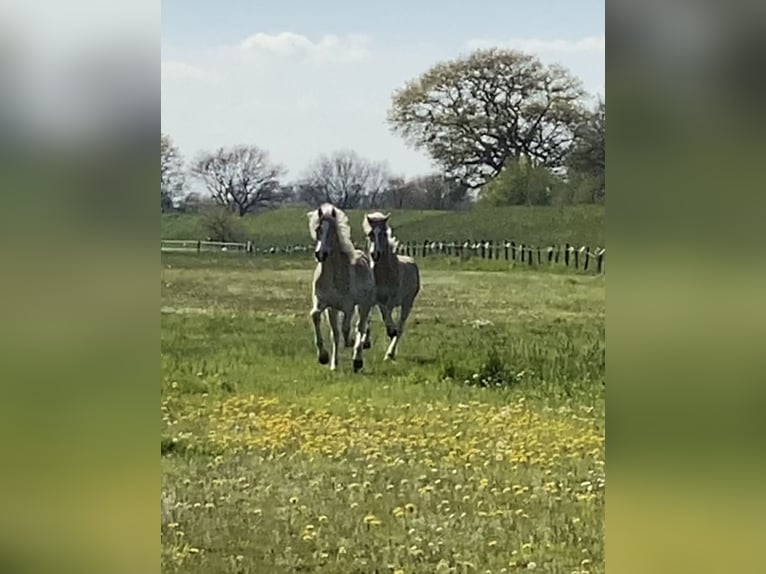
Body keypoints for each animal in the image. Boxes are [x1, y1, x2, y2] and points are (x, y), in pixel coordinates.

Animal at [308, 205, 376, 372]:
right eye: (318, 229)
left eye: (332, 231)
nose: (320, 254)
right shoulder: (324, 304)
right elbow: (316, 317)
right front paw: (324, 358)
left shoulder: (348, 306)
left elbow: (346, 328)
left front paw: (351, 343)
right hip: (334, 309)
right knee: (339, 333)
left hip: (364, 305)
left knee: (361, 327)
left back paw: (358, 358)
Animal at [364, 214, 424, 362]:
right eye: (370, 234)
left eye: (384, 233)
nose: (375, 254)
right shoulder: (372, 299)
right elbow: (368, 319)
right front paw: (366, 342)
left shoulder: (389, 301)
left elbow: (387, 318)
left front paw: (391, 331)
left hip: (407, 304)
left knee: (400, 327)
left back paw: (389, 353)